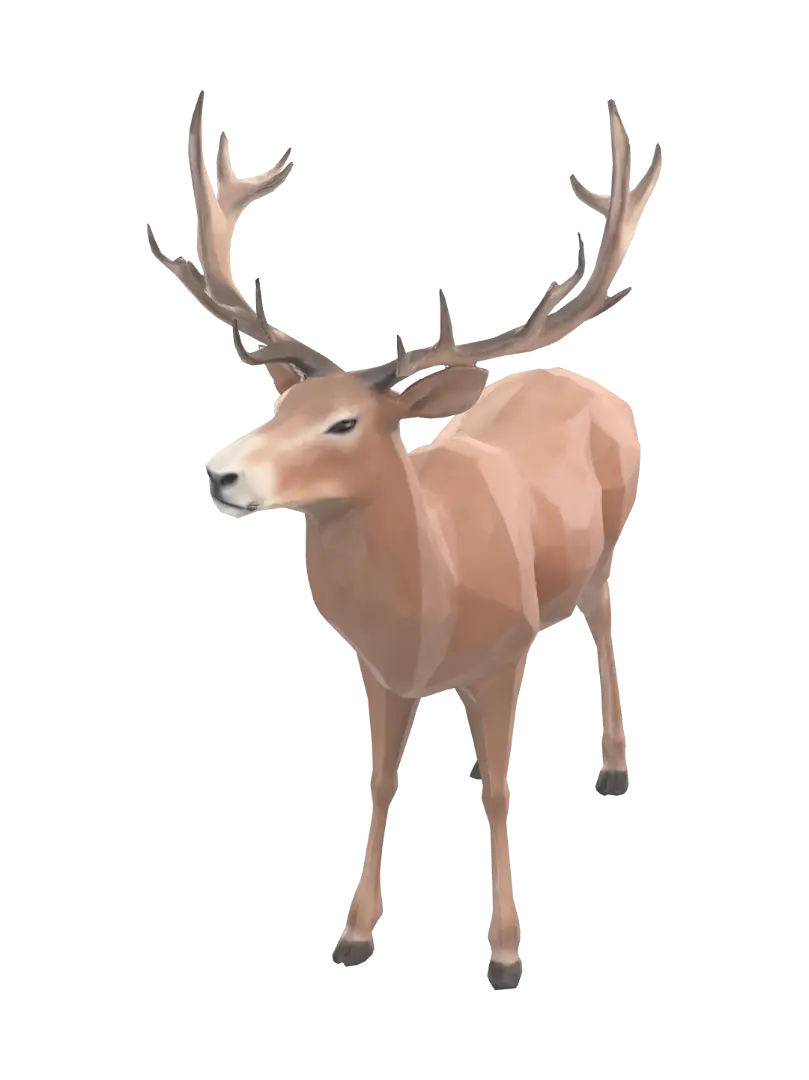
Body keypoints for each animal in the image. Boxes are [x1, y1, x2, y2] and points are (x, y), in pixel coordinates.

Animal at [146, 91, 662, 991]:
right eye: (277, 407)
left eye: (344, 423)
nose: (218, 474)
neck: (429, 605)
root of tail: (585, 381)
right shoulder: (379, 671)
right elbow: (379, 784)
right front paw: (353, 935)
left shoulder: (503, 652)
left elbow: (502, 796)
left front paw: (504, 951)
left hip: (605, 551)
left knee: (600, 622)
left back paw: (611, 763)